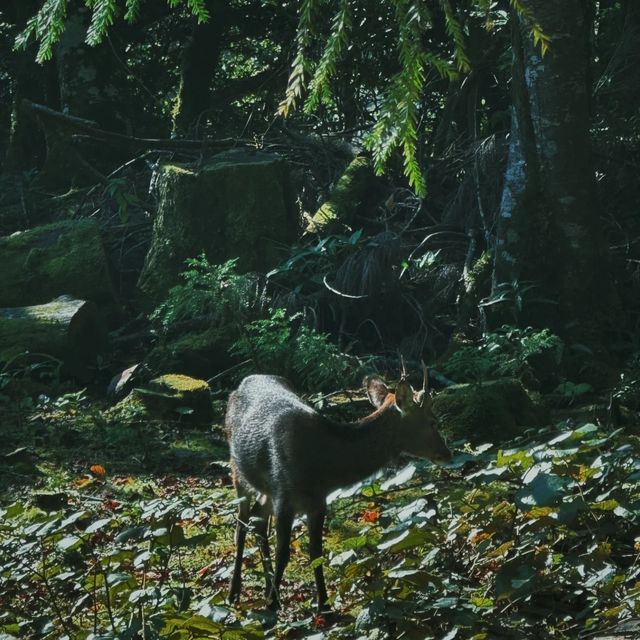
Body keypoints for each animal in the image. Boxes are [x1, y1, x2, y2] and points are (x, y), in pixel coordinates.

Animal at [224, 362, 450, 612]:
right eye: (433, 421)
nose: (447, 454)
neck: (323, 468)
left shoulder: (317, 501)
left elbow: (316, 552)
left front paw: (324, 605)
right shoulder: (285, 496)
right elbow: (283, 553)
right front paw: (272, 607)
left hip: (267, 490)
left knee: (258, 520)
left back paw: (267, 589)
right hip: (237, 471)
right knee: (241, 525)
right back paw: (234, 593)